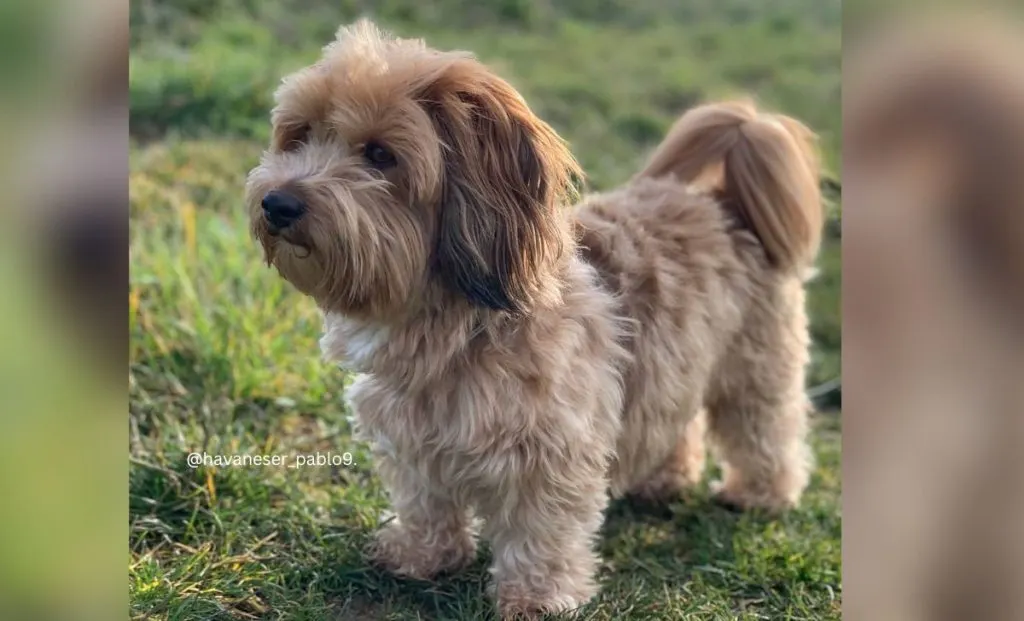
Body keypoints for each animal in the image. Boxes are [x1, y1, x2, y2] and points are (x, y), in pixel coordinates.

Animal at [245, 20, 823, 621]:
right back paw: (664, 479)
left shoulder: (551, 451)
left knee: (764, 428)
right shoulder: (410, 435)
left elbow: (540, 529)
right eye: (299, 135)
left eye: (380, 154)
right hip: (676, 362)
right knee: (677, 422)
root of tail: (727, 203)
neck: (451, 324)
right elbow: (425, 500)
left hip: (756, 366)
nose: (277, 203)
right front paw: (421, 554)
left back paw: (760, 494)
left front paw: (536, 597)